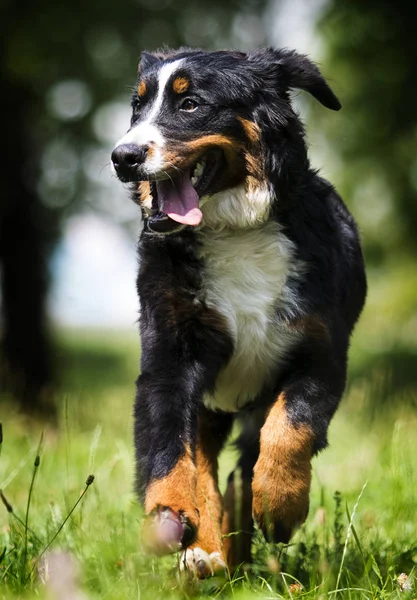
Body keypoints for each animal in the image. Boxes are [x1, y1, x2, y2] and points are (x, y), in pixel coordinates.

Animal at [109, 48, 364, 576]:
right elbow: (169, 446)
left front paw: (282, 506)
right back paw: (204, 550)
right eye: (137, 108)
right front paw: (170, 514)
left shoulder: (322, 353)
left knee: (244, 466)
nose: (123, 157)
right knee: (205, 464)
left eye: (190, 104)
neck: (235, 231)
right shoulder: (170, 354)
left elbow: (291, 428)